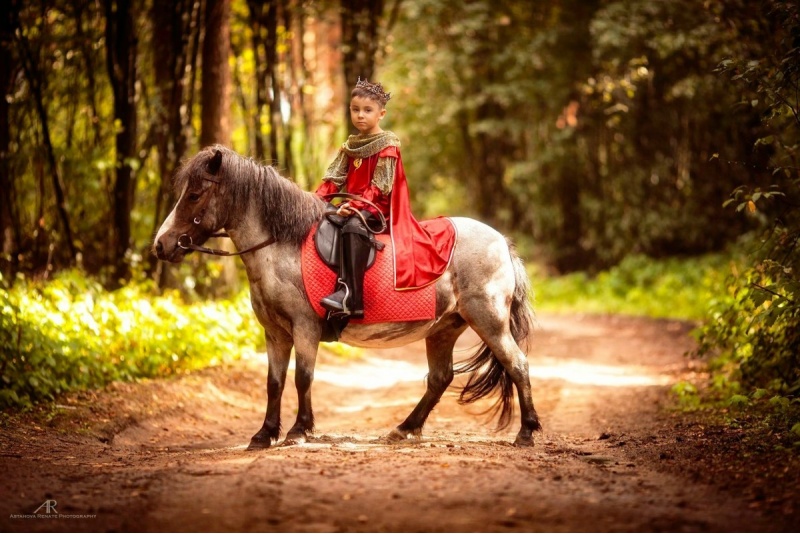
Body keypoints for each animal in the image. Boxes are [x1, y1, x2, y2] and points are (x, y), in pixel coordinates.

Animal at [155, 146, 544, 448]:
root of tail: (502, 244)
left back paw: (526, 432)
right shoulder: (275, 333)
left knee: (518, 364)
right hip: (445, 328)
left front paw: (299, 430)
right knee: (440, 378)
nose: (161, 245)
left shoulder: (305, 328)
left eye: (194, 194)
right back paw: (405, 428)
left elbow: (302, 377)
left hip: (488, 320)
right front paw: (264, 434)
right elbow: (274, 382)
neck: (282, 246)